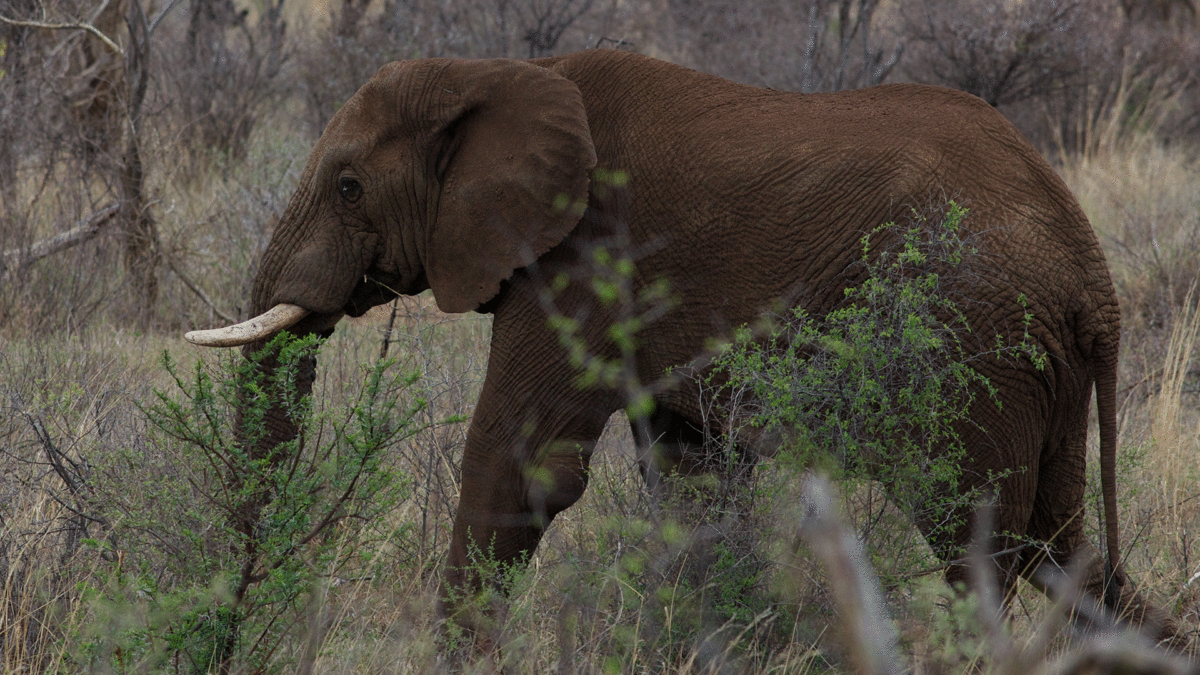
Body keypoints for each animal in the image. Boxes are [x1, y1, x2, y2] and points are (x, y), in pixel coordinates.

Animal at [184, 47, 1180, 648]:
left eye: (349, 186)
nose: (230, 629)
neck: (506, 77)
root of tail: (1094, 275)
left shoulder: (586, 255)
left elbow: (520, 462)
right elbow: (690, 478)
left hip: (977, 347)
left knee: (980, 543)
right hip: (1040, 369)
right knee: (1062, 548)